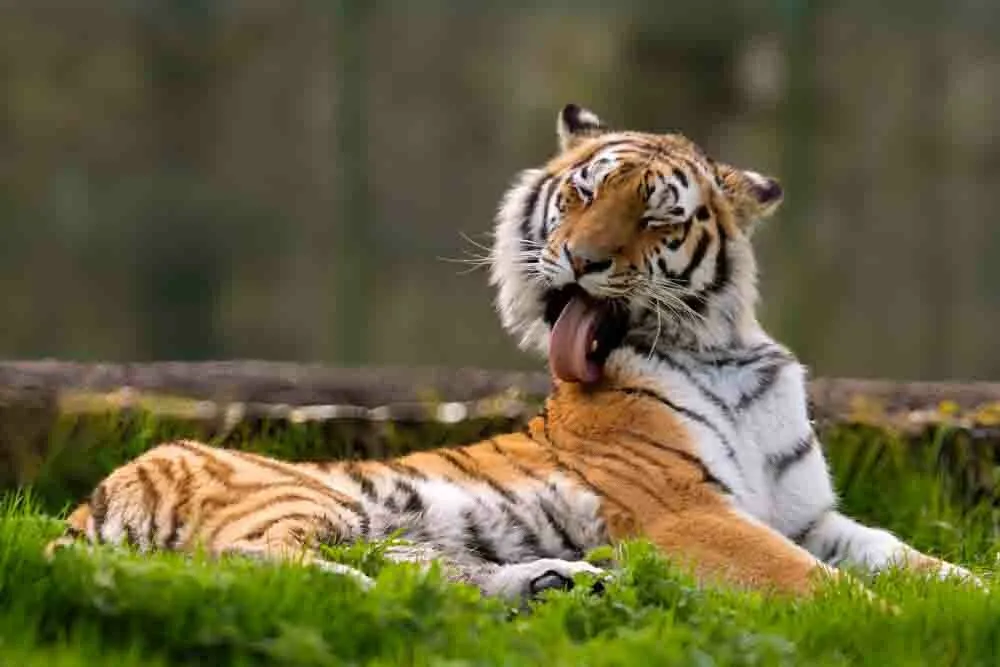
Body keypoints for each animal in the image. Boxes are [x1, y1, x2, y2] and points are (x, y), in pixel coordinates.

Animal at [46, 104, 977, 600]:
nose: (583, 259)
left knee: (424, 573)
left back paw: (554, 583)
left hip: (389, 528)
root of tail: (89, 501)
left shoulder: (811, 516)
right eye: (584, 192)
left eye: (658, 215)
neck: (724, 353)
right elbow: (817, 583)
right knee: (246, 560)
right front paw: (881, 621)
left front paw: (967, 598)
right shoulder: (688, 511)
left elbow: (920, 560)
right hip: (296, 494)